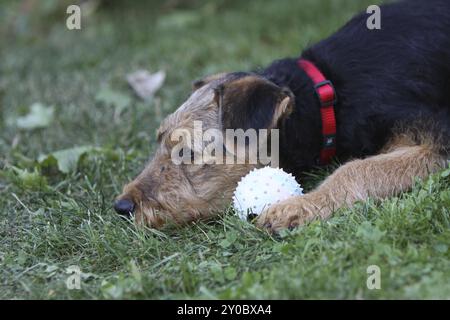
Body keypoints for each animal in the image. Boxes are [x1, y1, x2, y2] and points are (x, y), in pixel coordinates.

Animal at [113, 0, 450, 231]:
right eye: (159, 141)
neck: (327, 95)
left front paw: (296, 207)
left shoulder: (437, 138)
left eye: (188, 152)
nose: (122, 206)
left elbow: (358, 169)